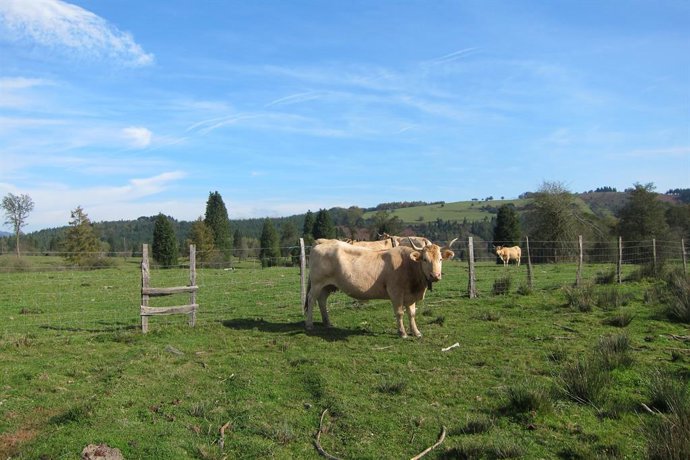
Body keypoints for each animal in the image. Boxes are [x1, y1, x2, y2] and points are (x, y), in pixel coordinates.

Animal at [304, 238, 456, 338]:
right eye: (425, 259)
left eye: (440, 259)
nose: (435, 275)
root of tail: (323, 242)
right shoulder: (395, 293)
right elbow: (400, 313)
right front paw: (402, 333)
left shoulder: (410, 296)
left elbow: (412, 313)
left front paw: (416, 332)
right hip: (317, 283)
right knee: (311, 300)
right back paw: (309, 324)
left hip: (328, 285)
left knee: (322, 300)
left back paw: (327, 323)